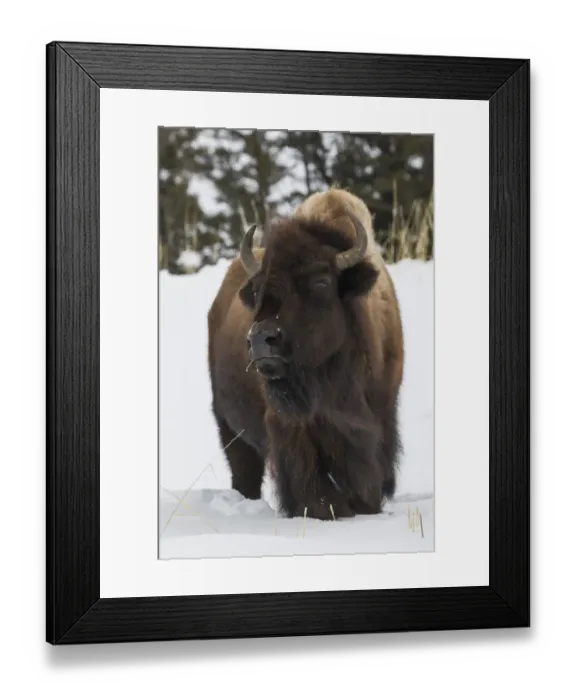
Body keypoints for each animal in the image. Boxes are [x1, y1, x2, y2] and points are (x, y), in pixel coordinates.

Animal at [207, 188, 404, 521]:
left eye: (322, 281)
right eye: (258, 289)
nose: (261, 339)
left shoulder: (377, 422)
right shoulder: (292, 428)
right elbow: (311, 485)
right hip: (230, 428)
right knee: (245, 473)